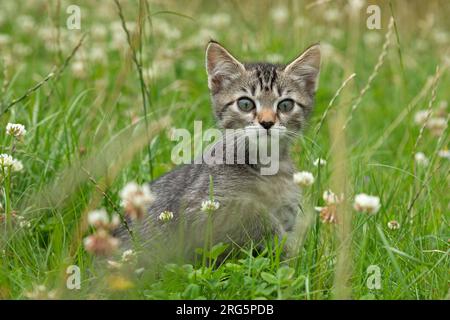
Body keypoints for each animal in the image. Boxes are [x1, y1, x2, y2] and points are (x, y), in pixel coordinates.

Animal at [126, 40, 320, 260]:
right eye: (245, 103)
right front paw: (289, 249)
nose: (267, 122)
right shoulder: (198, 210)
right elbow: (255, 213)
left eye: (285, 105)